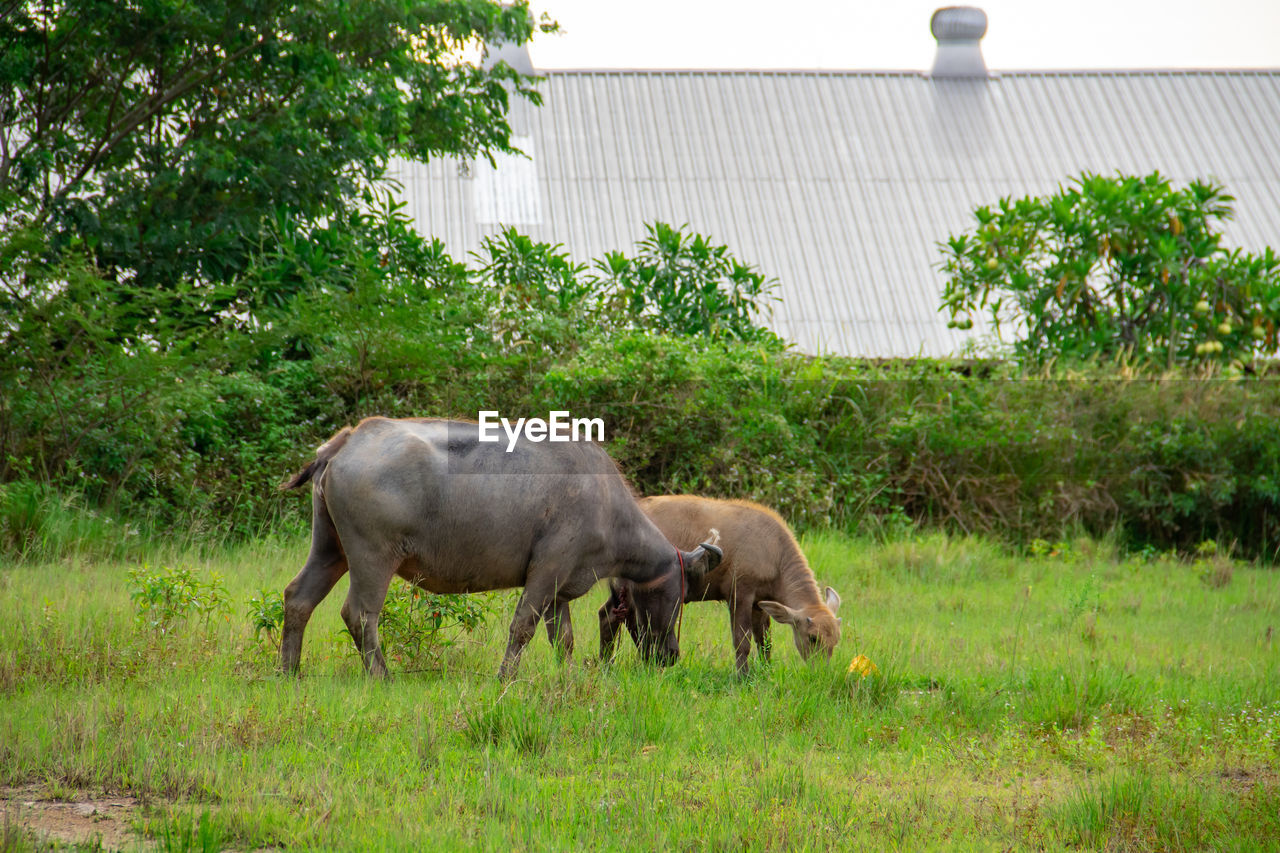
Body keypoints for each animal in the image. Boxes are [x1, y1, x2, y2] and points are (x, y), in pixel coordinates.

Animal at [279, 412, 721, 676]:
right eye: (676, 598)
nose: (671, 656)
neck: (605, 503)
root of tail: (351, 439)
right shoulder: (547, 570)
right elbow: (522, 627)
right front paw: (505, 677)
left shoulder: (559, 588)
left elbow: (562, 638)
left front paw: (566, 675)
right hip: (372, 557)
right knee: (359, 614)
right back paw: (382, 676)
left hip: (329, 548)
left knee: (298, 597)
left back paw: (289, 672)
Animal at [599, 494, 839, 676]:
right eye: (813, 638)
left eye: (836, 640)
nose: (822, 673)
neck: (775, 554)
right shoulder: (740, 594)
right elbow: (742, 641)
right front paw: (742, 676)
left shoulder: (760, 603)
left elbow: (765, 642)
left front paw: (766, 671)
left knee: (608, 614)